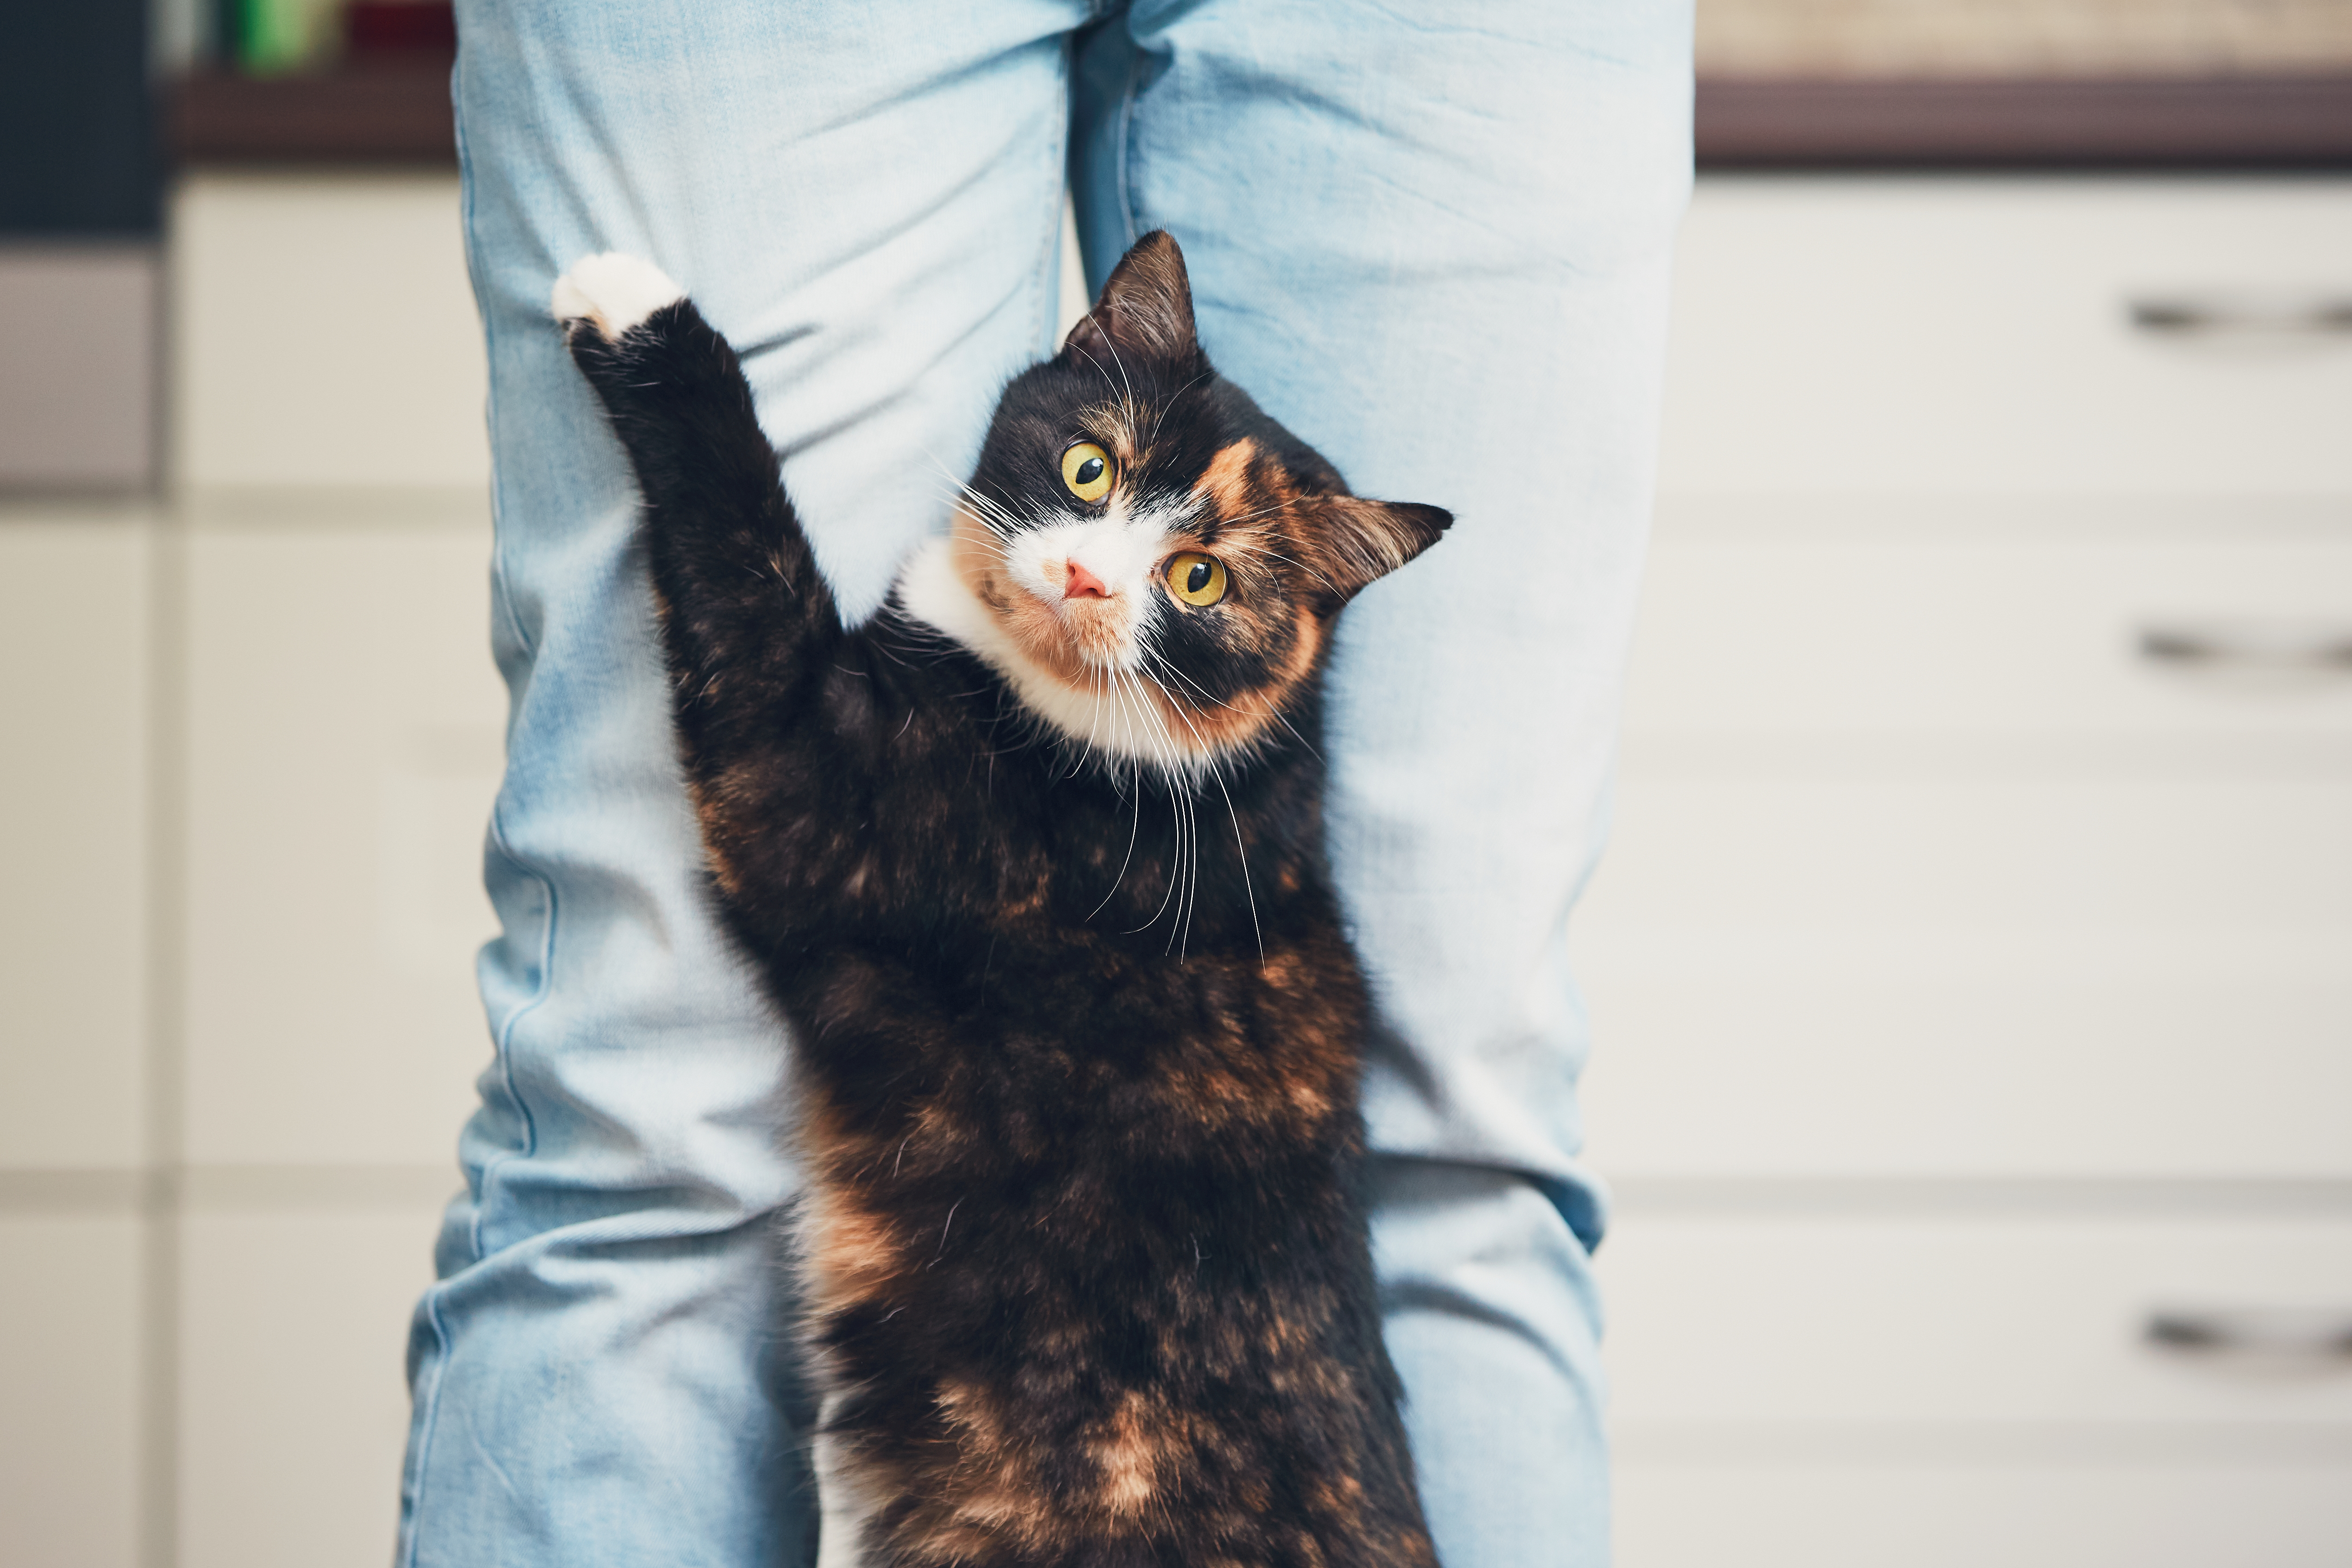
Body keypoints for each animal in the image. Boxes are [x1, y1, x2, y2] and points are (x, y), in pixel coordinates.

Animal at [550, 232, 1448, 1568]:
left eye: (1199, 578)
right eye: (1088, 465)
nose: (1084, 574)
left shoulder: (817, 800)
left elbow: (747, 543)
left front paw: (638, 310)